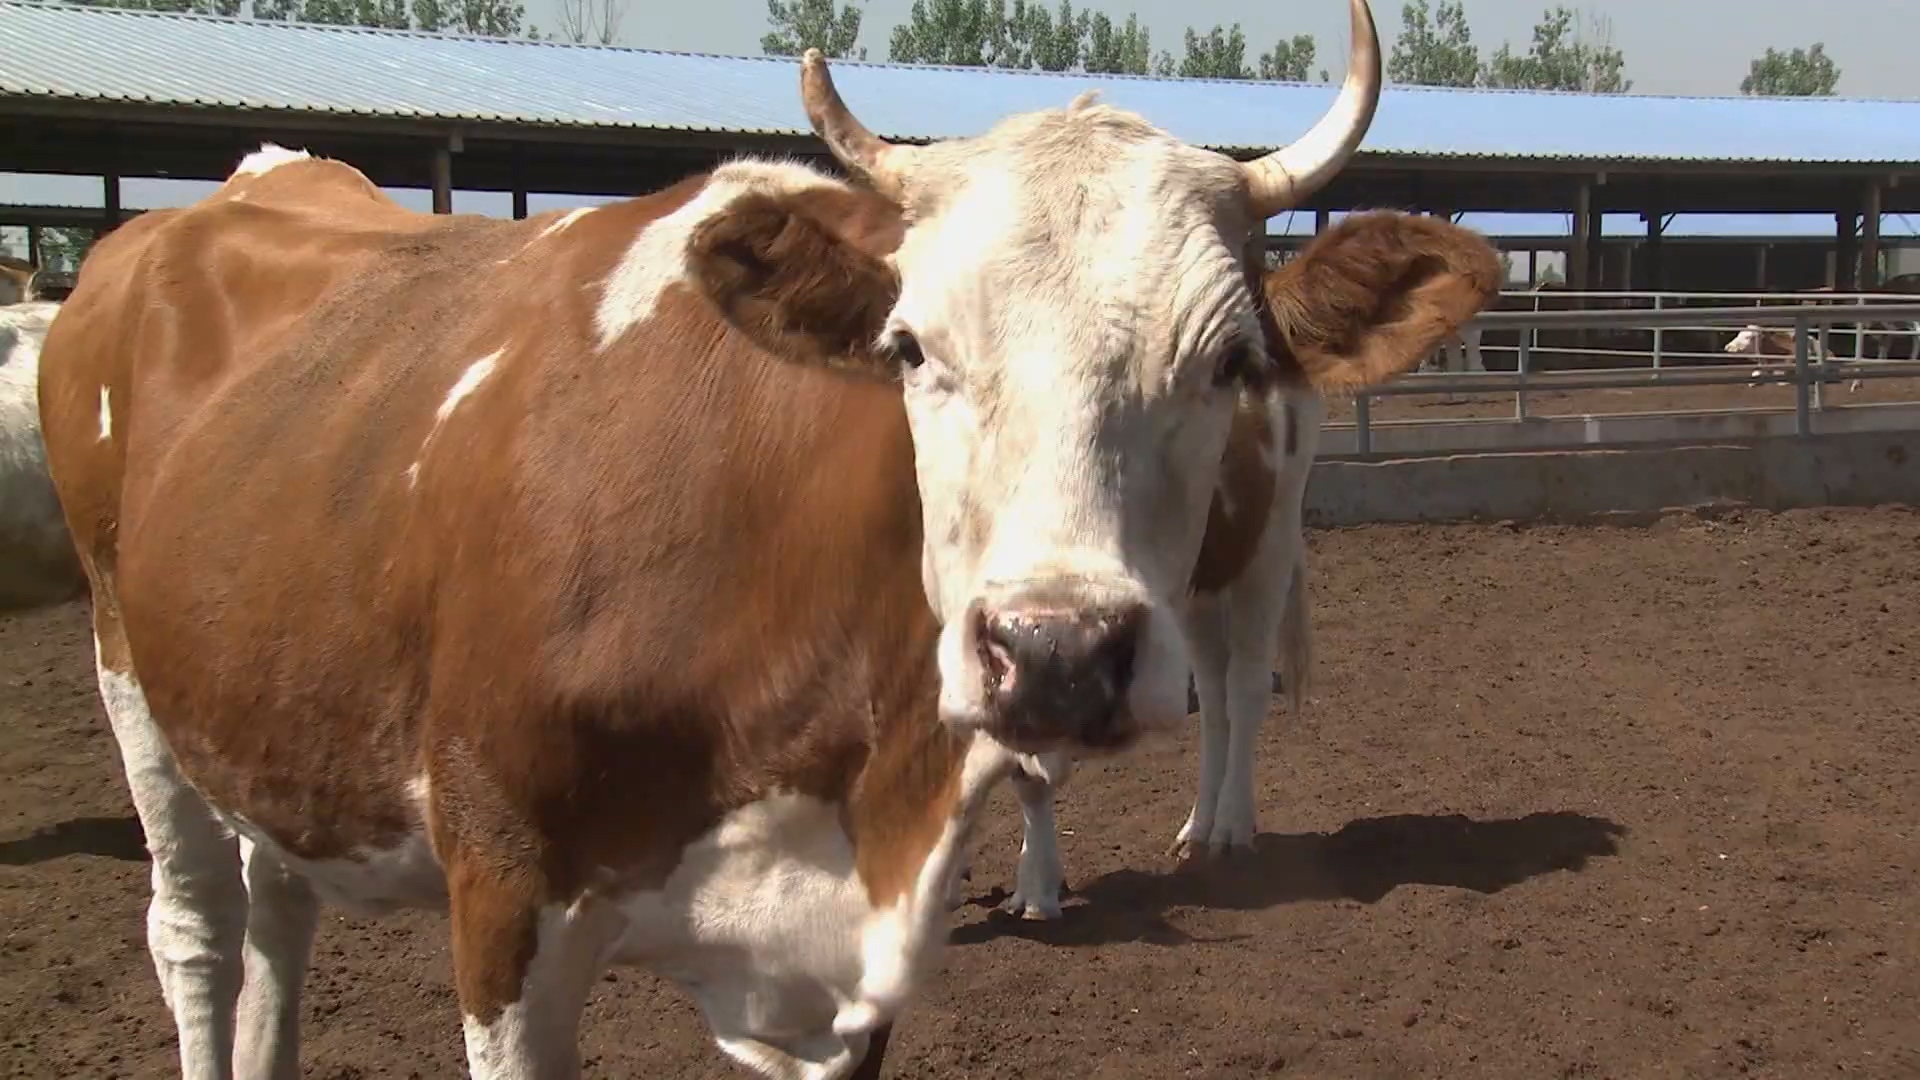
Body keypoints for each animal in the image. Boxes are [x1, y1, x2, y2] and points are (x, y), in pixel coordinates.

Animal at [33, 4, 1497, 1068]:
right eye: (911, 346)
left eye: (1231, 359)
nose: (1055, 652)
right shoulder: (497, 894)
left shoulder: (838, 961)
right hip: (128, 667)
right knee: (201, 929)